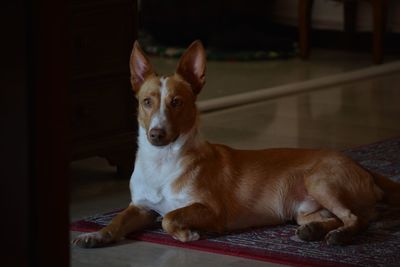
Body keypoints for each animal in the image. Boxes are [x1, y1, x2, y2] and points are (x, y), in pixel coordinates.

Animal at [72, 40, 400, 249]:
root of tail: (362, 166)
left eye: (177, 102)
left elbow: (169, 218)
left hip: (319, 180)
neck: (162, 162)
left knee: (357, 218)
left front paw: (187, 235)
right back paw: (313, 231)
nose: (156, 134)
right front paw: (97, 235)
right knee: (339, 217)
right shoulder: (140, 207)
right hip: (304, 208)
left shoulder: (212, 210)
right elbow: (117, 221)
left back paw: (339, 237)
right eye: (146, 102)